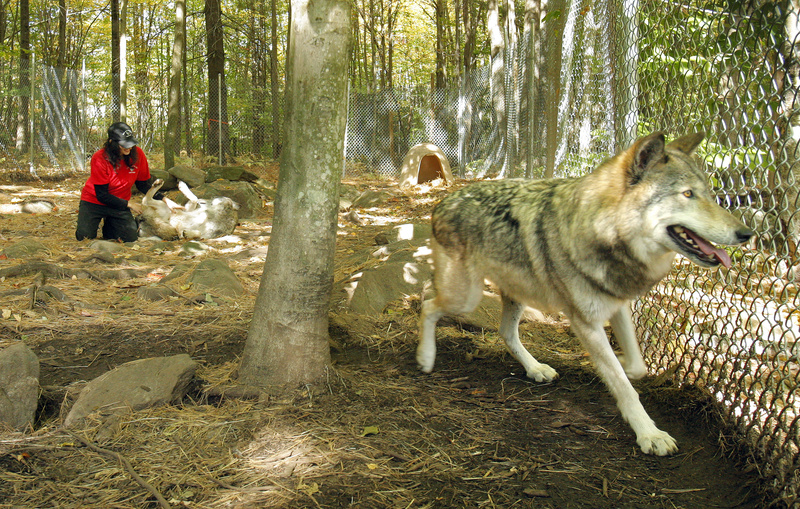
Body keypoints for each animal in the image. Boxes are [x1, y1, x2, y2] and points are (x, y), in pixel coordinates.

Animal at [417, 132, 754, 456]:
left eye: (708, 193)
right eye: (687, 194)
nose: (747, 234)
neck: (602, 230)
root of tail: (443, 201)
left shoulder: (617, 305)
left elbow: (636, 366)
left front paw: (622, 365)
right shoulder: (586, 323)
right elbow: (623, 385)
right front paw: (650, 434)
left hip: (514, 295)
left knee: (505, 332)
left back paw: (535, 368)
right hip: (465, 297)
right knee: (428, 304)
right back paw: (425, 357)